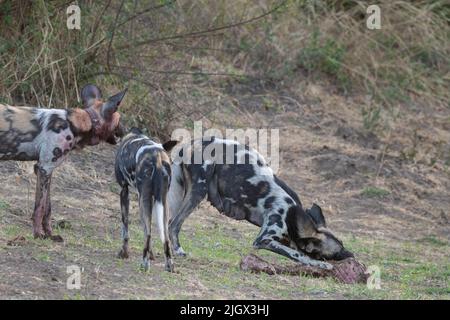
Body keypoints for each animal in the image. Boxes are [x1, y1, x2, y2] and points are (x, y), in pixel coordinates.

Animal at [0, 84, 126, 241]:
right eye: (119, 120)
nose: (127, 130)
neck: (79, 122)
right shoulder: (45, 168)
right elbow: (39, 208)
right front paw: (38, 235)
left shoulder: (43, 170)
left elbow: (47, 209)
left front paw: (49, 234)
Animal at [114, 128, 178, 272]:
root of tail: (157, 157)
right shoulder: (147, 199)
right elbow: (145, 229)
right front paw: (152, 255)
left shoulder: (124, 192)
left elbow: (125, 228)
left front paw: (124, 253)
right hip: (162, 202)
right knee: (165, 237)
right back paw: (169, 265)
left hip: (145, 199)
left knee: (148, 234)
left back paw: (144, 264)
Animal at [169, 138, 356, 270]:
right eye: (337, 252)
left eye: (342, 244)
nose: (352, 255)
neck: (291, 216)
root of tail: (189, 144)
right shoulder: (264, 240)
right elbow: (297, 254)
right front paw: (319, 264)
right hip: (198, 192)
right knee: (173, 225)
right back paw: (178, 251)